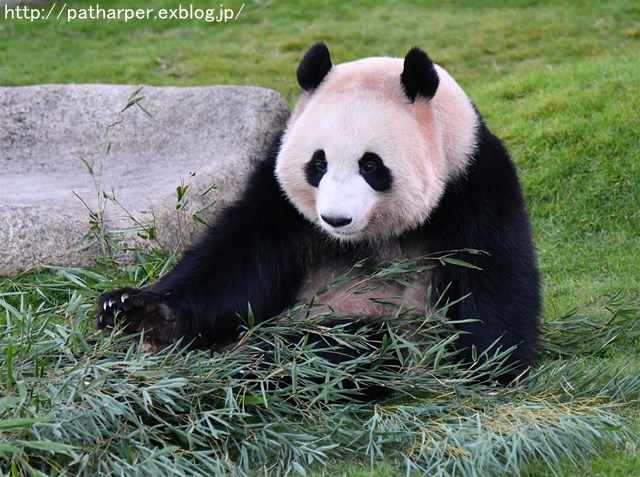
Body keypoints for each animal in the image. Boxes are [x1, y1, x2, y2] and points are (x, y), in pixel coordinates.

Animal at [99, 42, 540, 386]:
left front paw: (487, 366)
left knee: (353, 345)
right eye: (318, 163)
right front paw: (135, 310)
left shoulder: (473, 181)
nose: (336, 219)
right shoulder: (278, 199)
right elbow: (237, 262)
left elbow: (492, 272)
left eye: (371, 165)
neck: (370, 235)